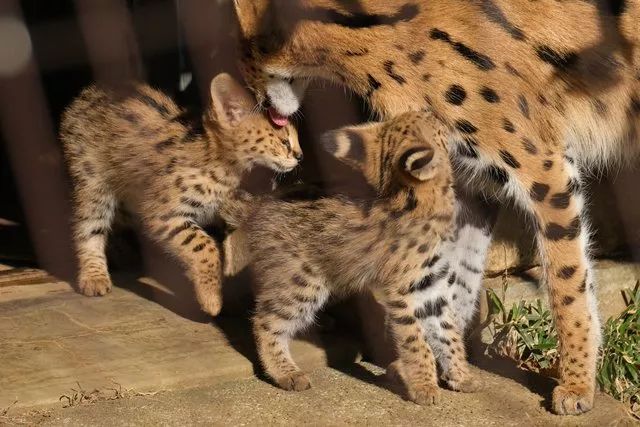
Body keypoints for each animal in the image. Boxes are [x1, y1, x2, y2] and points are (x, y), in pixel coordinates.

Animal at [61, 73, 302, 316]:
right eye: (284, 142)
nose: (300, 156)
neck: (222, 167)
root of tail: (90, 91)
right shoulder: (162, 214)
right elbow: (205, 246)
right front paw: (211, 298)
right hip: (93, 182)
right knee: (89, 227)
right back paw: (94, 275)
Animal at [245, 112, 470, 406]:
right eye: (434, 124)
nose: (437, 114)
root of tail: (261, 207)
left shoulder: (433, 287)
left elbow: (449, 331)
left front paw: (461, 375)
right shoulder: (400, 292)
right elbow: (416, 341)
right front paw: (425, 386)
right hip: (303, 282)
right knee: (264, 322)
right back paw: (285, 372)